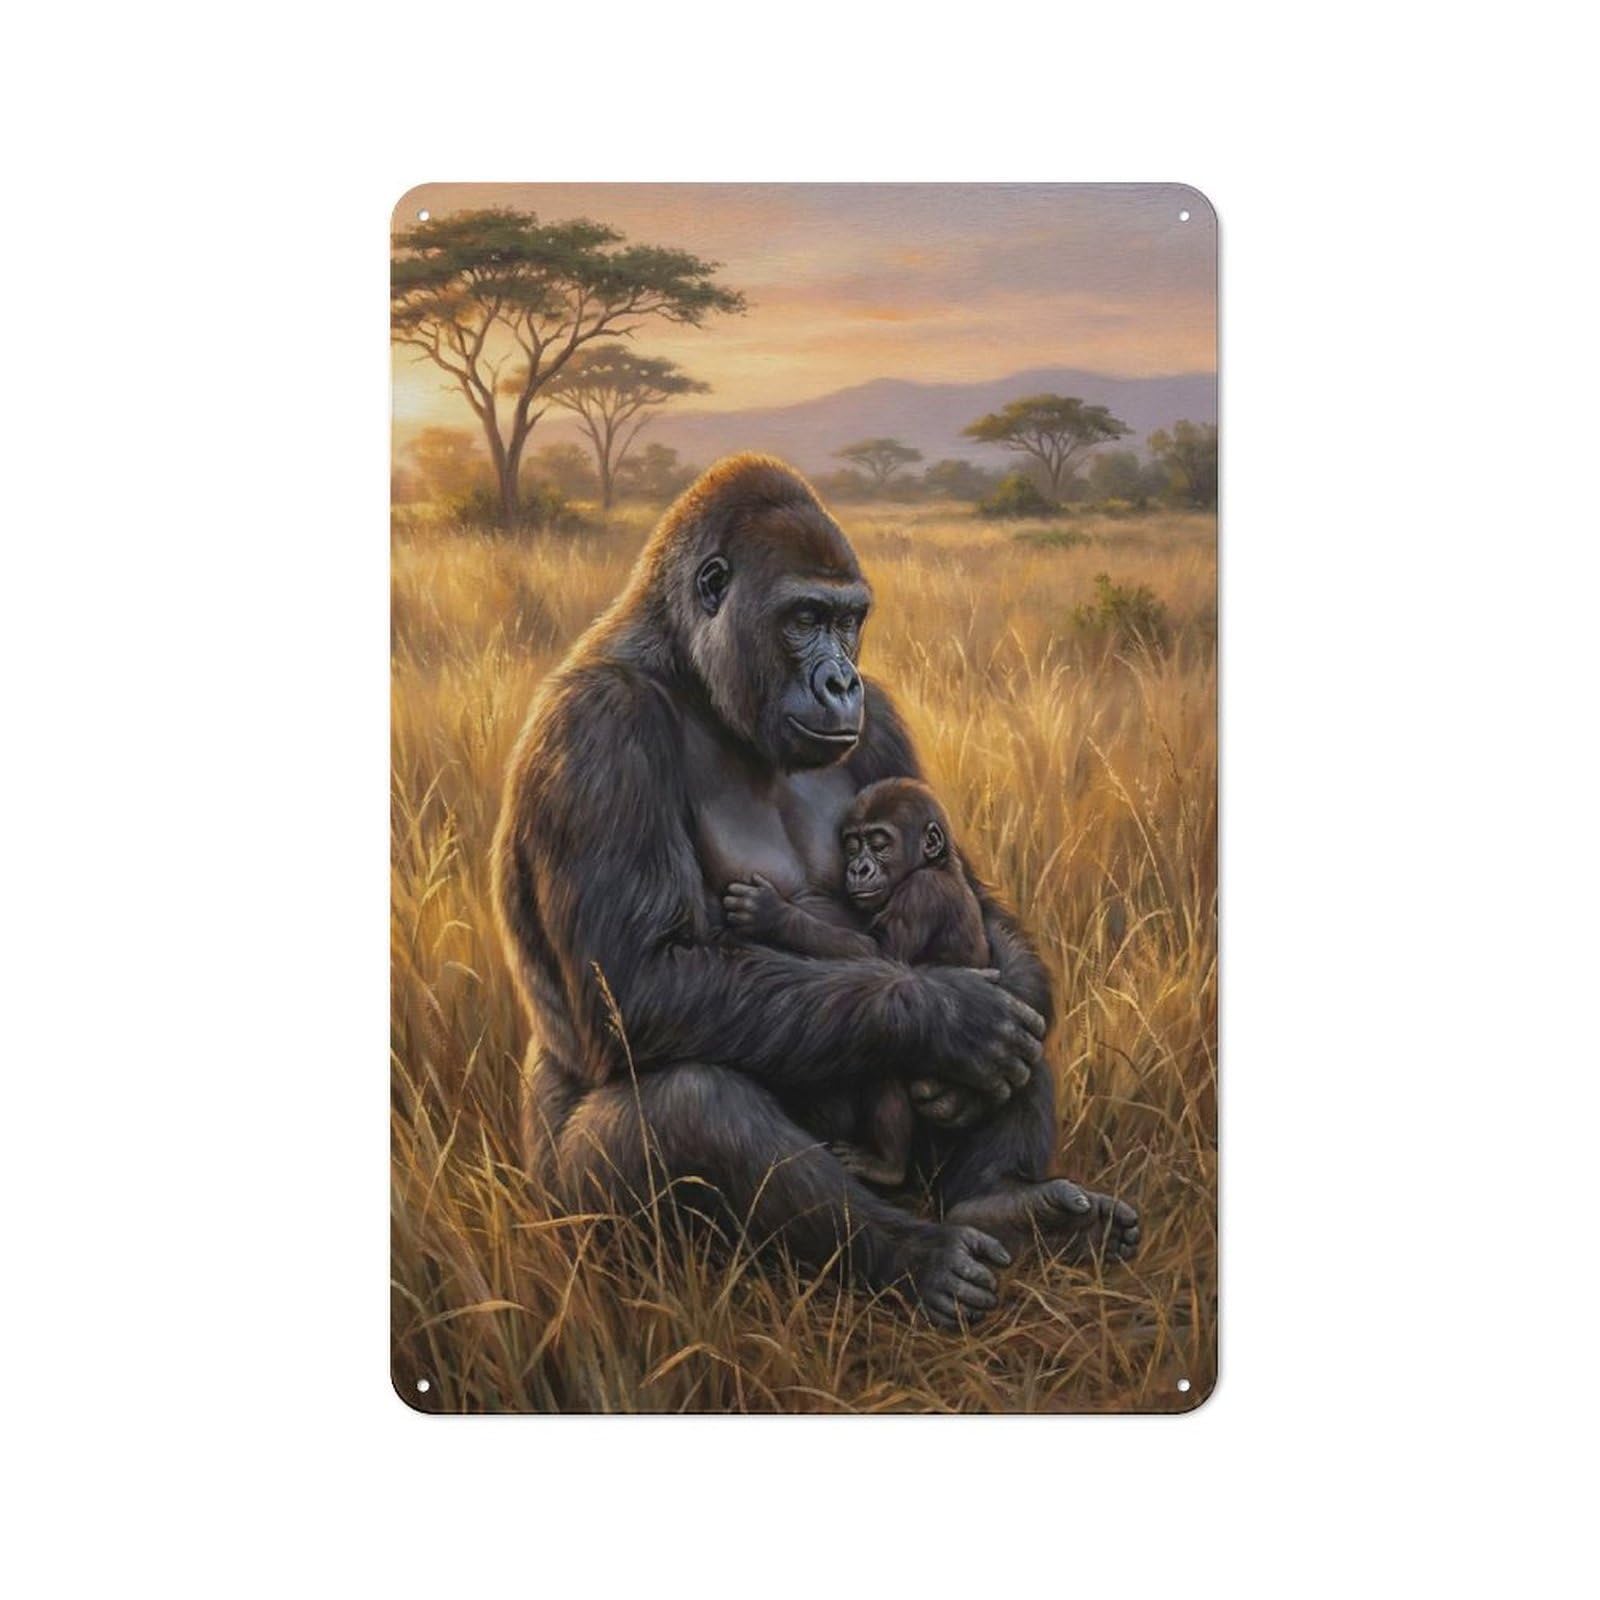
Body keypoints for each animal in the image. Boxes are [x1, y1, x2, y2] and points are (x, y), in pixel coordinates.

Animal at [722, 778, 989, 1189]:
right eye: (851, 845)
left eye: (879, 844)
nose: (859, 868)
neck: (938, 864)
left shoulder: (922, 893)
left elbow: (882, 954)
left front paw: (775, 914)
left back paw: (888, 1166)